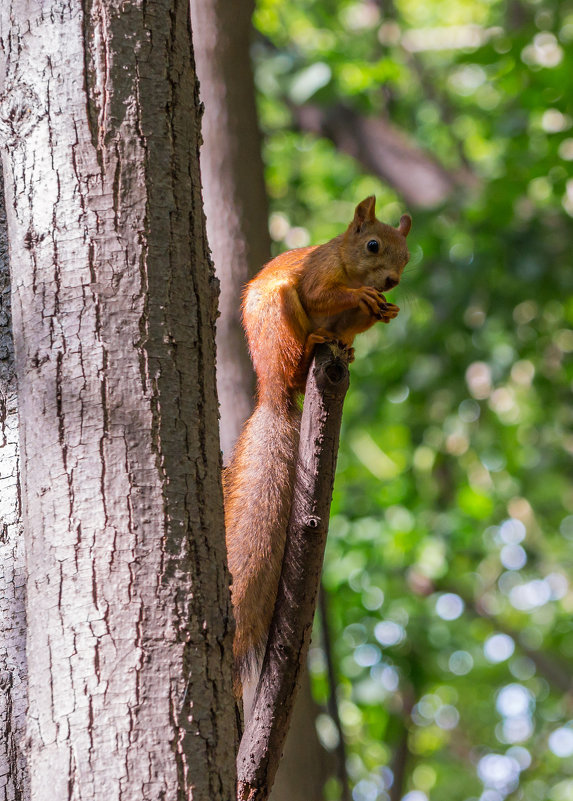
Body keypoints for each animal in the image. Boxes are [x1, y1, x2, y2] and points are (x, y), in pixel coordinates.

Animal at [220, 195, 412, 688]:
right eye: (372, 245)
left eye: (407, 256)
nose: (392, 282)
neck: (346, 263)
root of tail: (272, 392)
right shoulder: (316, 276)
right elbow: (323, 295)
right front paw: (361, 297)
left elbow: (360, 319)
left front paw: (385, 309)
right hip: (279, 310)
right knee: (298, 350)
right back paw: (311, 344)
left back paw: (344, 348)